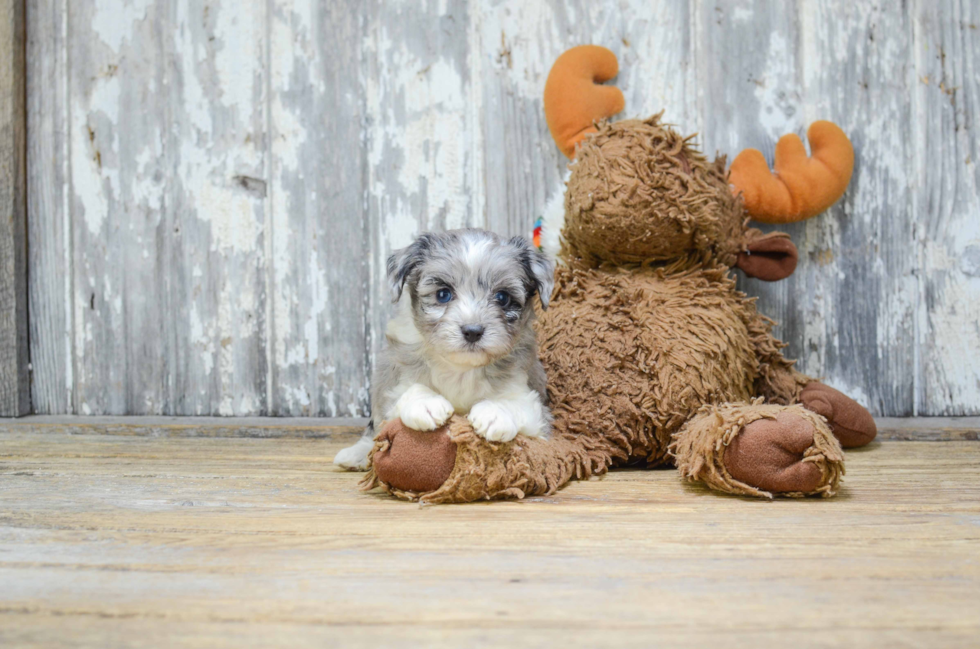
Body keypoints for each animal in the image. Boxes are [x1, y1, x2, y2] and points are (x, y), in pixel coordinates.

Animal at [334, 230, 552, 468]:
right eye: (443, 294)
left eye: (502, 297)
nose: (472, 331)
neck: (461, 368)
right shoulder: (392, 379)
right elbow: (401, 393)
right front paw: (425, 403)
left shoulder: (533, 400)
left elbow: (520, 403)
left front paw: (495, 411)